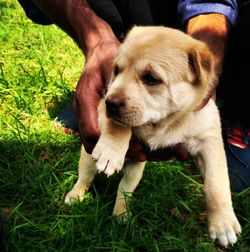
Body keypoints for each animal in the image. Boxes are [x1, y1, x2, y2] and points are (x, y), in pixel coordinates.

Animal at [64, 26, 240, 247]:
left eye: (151, 79)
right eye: (116, 70)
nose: (110, 103)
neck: (165, 123)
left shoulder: (209, 140)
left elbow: (217, 183)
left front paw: (223, 224)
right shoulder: (102, 110)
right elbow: (118, 125)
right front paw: (111, 152)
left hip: (134, 171)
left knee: (124, 190)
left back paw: (121, 215)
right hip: (87, 158)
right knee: (85, 178)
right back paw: (75, 196)